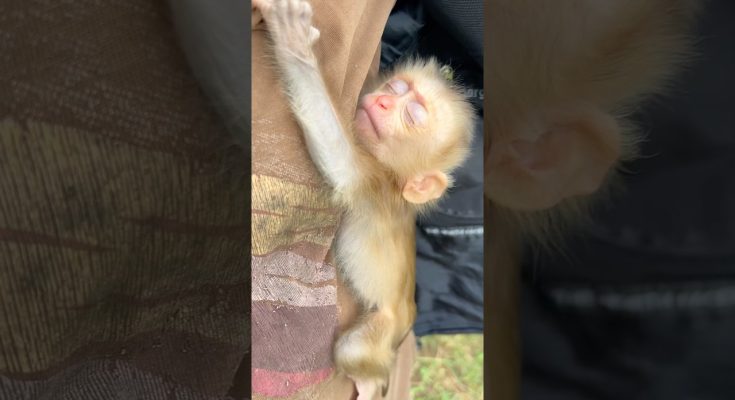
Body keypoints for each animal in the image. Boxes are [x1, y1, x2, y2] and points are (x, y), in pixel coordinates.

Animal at [253, 0, 475, 398]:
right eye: (397, 87)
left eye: (412, 115)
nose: (385, 101)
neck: (393, 178)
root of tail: (408, 318)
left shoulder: (374, 186)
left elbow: (340, 163)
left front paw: (295, 44)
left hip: (382, 332)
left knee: (354, 350)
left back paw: (369, 382)